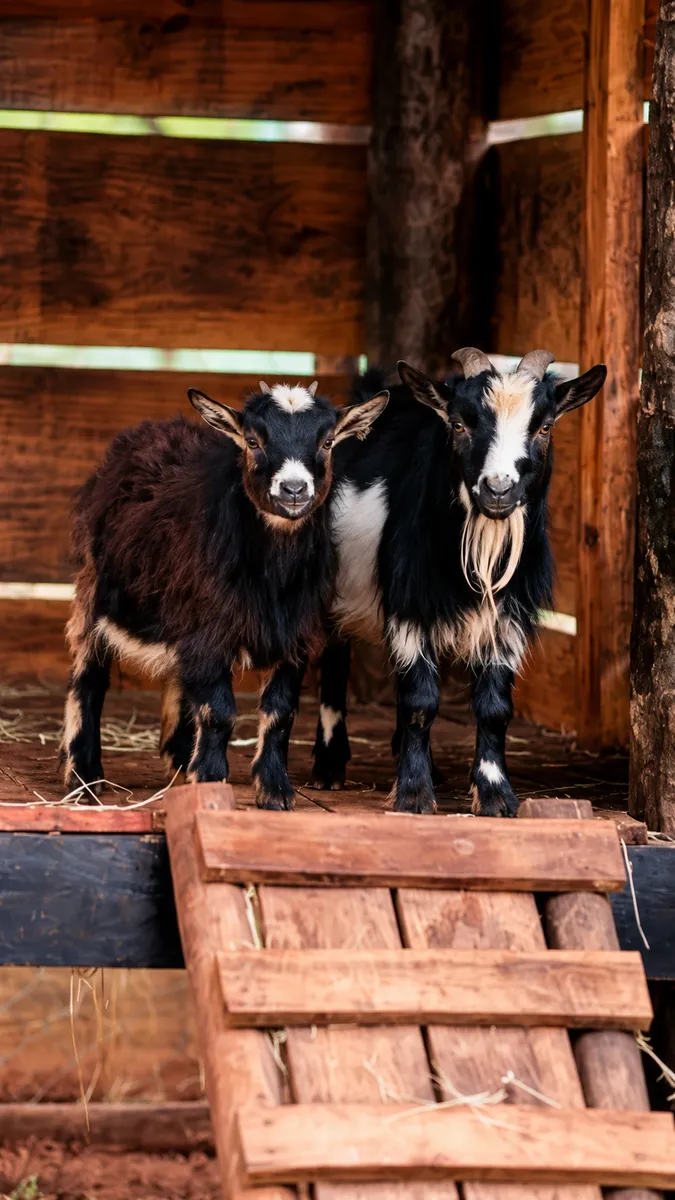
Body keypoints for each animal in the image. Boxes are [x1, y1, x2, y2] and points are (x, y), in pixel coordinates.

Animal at [61, 381, 388, 808]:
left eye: (328, 441)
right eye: (252, 440)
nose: (294, 489)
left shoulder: (293, 635)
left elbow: (280, 713)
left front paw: (274, 791)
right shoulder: (210, 630)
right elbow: (219, 711)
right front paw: (211, 780)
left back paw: (179, 759)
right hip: (94, 588)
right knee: (88, 675)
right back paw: (83, 776)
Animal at [312, 349, 606, 816]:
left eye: (544, 427)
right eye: (458, 424)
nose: (498, 490)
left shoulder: (508, 617)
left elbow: (493, 708)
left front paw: (495, 794)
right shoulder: (411, 604)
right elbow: (420, 702)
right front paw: (413, 795)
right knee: (333, 659)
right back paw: (328, 765)